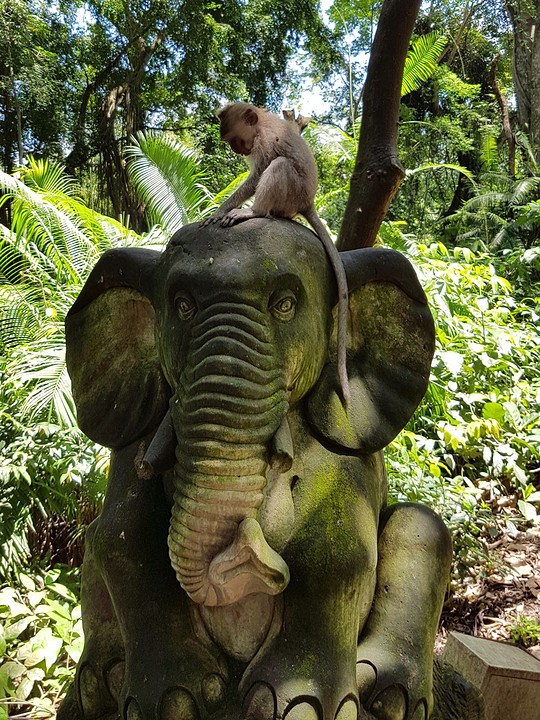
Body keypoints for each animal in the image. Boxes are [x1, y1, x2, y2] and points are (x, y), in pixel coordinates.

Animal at [202, 102, 350, 406]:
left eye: (234, 139)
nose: (238, 151)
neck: (260, 124)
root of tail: (306, 202)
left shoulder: (265, 142)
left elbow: (257, 175)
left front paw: (221, 210)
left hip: (290, 194)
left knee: (278, 166)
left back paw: (254, 212)